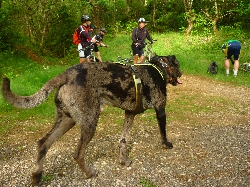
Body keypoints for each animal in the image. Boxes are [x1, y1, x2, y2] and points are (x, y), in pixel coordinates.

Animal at [1, 55, 182, 186]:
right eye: (178, 65)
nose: (181, 74)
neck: (159, 68)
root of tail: (66, 74)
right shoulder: (160, 110)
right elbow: (163, 132)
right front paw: (166, 144)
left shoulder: (129, 114)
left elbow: (123, 141)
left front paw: (123, 161)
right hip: (89, 123)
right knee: (78, 154)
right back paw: (89, 173)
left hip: (67, 121)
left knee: (43, 143)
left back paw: (37, 177)